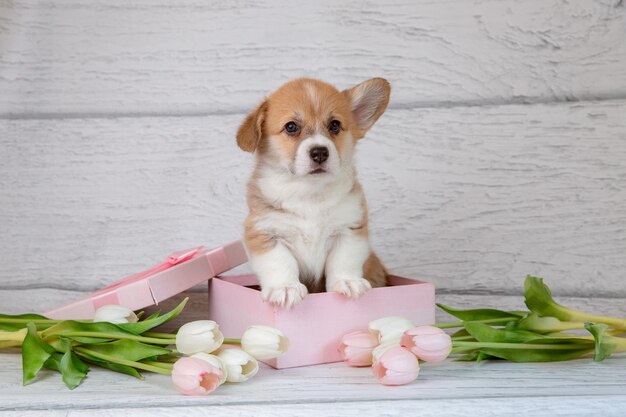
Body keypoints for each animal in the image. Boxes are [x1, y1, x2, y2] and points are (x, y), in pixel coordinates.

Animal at [235, 76, 388, 308]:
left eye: (335, 125)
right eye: (291, 127)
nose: (319, 152)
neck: (310, 193)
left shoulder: (349, 229)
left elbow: (343, 260)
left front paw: (348, 282)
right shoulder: (265, 232)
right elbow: (280, 262)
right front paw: (286, 288)